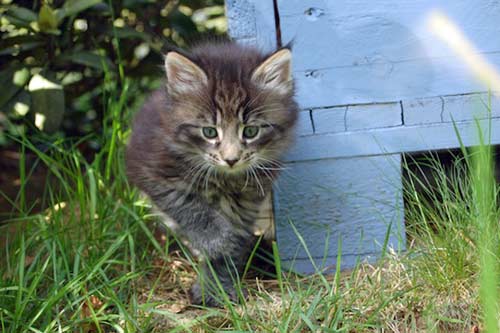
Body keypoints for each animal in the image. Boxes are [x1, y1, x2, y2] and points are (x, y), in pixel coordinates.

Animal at [127, 40, 298, 304]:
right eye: (209, 132)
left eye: (251, 131)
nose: (231, 159)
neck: (223, 179)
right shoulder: (150, 171)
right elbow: (187, 206)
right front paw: (215, 240)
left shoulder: (246, 202)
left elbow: (231, 248)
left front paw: (216, 289)